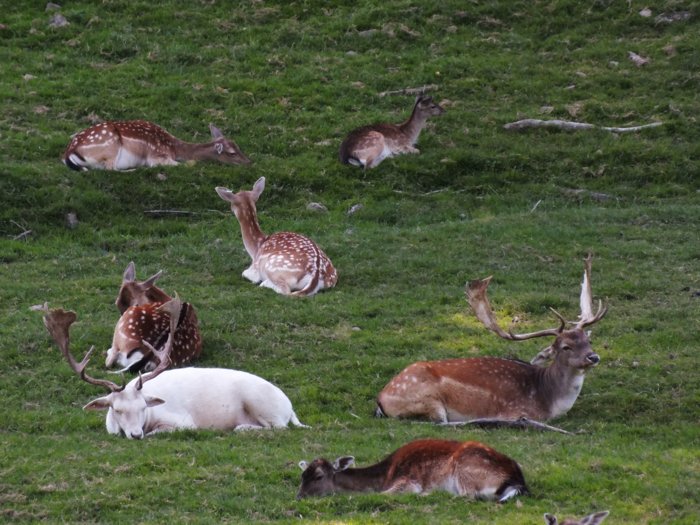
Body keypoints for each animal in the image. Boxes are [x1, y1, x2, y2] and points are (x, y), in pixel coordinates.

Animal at [61, 118, 250, 170]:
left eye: (239, 146)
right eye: (232, 153)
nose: (249, 162)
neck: (174, 148)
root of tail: (69, 152)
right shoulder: (157, 155)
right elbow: (188, 163)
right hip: (111, 147)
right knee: (110, 168)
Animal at [292, 436, 528, 502]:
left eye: (319, 476)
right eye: (302, 476)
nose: (299, 496)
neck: (384, 476)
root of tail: (517, 481)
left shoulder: (408, 480)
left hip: (465, 470)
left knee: (468, 495)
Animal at [374, 256, 608, 432]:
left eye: (588, 340)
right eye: (565, 346)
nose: (593, 357)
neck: (548, 399)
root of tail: (380, 399)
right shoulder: (515, 406)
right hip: (427, 400)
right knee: (440, 424)